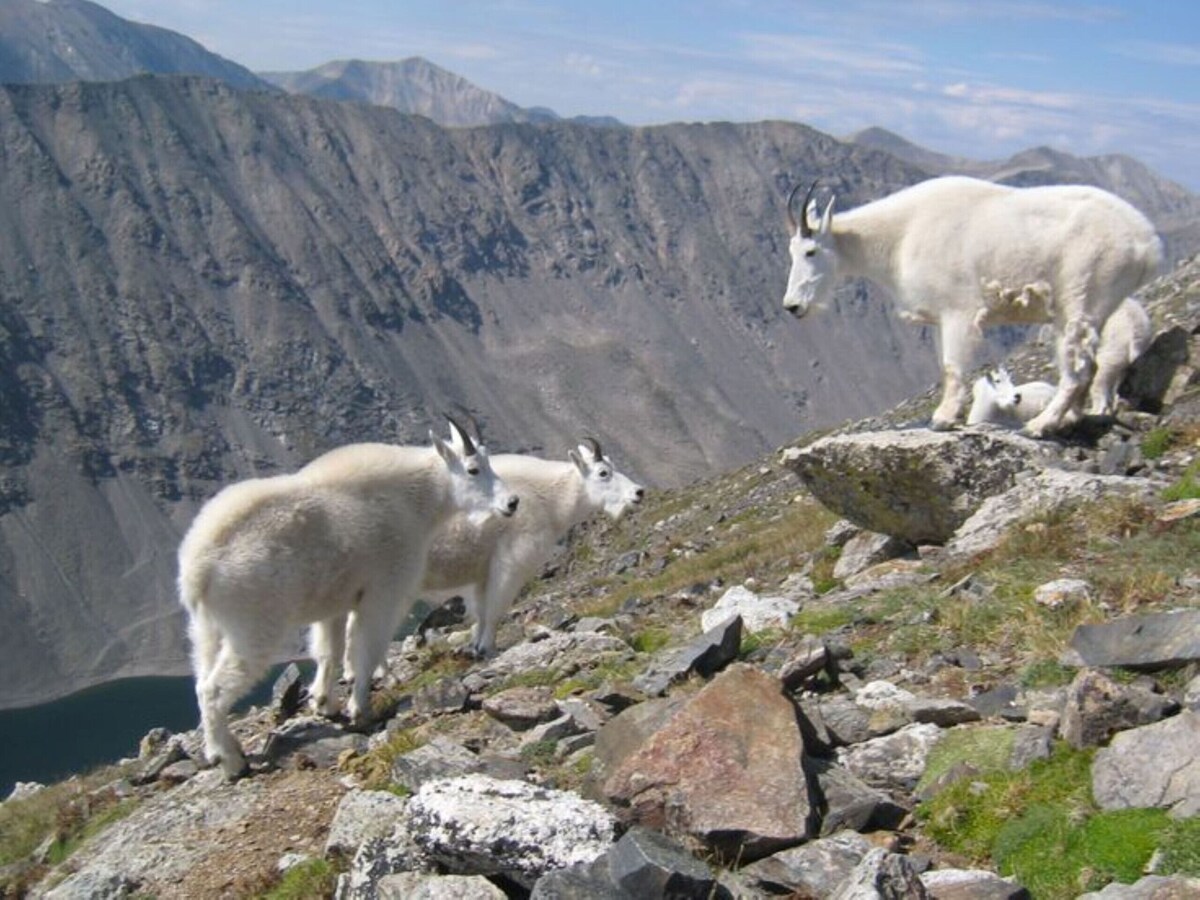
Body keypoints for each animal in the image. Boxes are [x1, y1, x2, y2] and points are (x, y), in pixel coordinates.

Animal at [176, 420, 516, 777]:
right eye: (473, 469)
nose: (512, 503)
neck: (416, 501)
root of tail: (198, 569)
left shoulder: (335, 604)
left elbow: (331, 651)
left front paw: (325, 704)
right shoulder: (384, 592)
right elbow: (366, 650)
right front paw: (360, 709)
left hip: (205, 630)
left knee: (202, 680)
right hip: (252, 626)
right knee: (213, 689)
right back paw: (230, 760)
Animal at [328, 436, 643, 681]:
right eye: (603, 472)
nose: (638, 492)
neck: (552, 500)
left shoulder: (481, 573)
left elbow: (480, 612)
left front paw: (475, 646)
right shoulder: (510, 562)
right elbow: (494, 610)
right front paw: (488, 650)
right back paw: (381, 674)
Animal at [777, 176, 1161, 436]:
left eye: (811, 251)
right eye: (791, 252)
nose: (792, 306)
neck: (900, 236)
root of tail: (1147, 242)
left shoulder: (958, 312)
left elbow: (952, 366)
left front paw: (943, 420)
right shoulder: (937, 319)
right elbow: (944, 367)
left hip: (1082, 301)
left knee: (1078, 370)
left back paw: (1039, 425)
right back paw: (1066, 420)